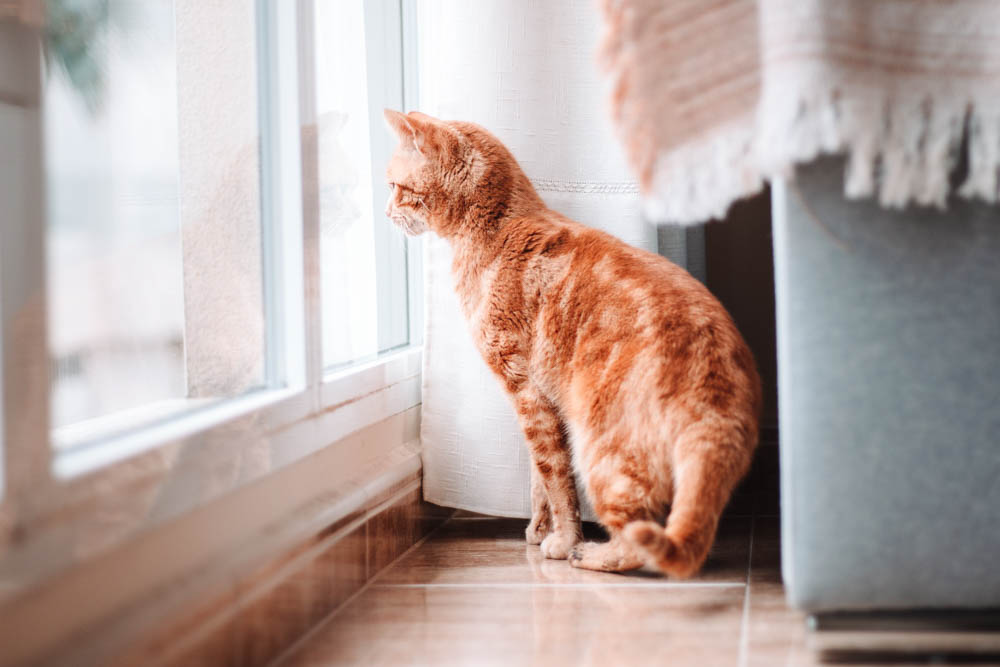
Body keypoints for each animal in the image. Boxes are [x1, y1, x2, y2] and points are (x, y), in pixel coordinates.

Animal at [382, 111, 756, 580]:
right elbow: (538, 480)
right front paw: (540, 530)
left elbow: (555, 477)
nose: (386, 211)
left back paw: (589, 554)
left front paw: (562, 541)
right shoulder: (539, 401)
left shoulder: (526, 391)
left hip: (600, 448)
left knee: (642, 538)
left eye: (395, 186)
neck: (497, 230)